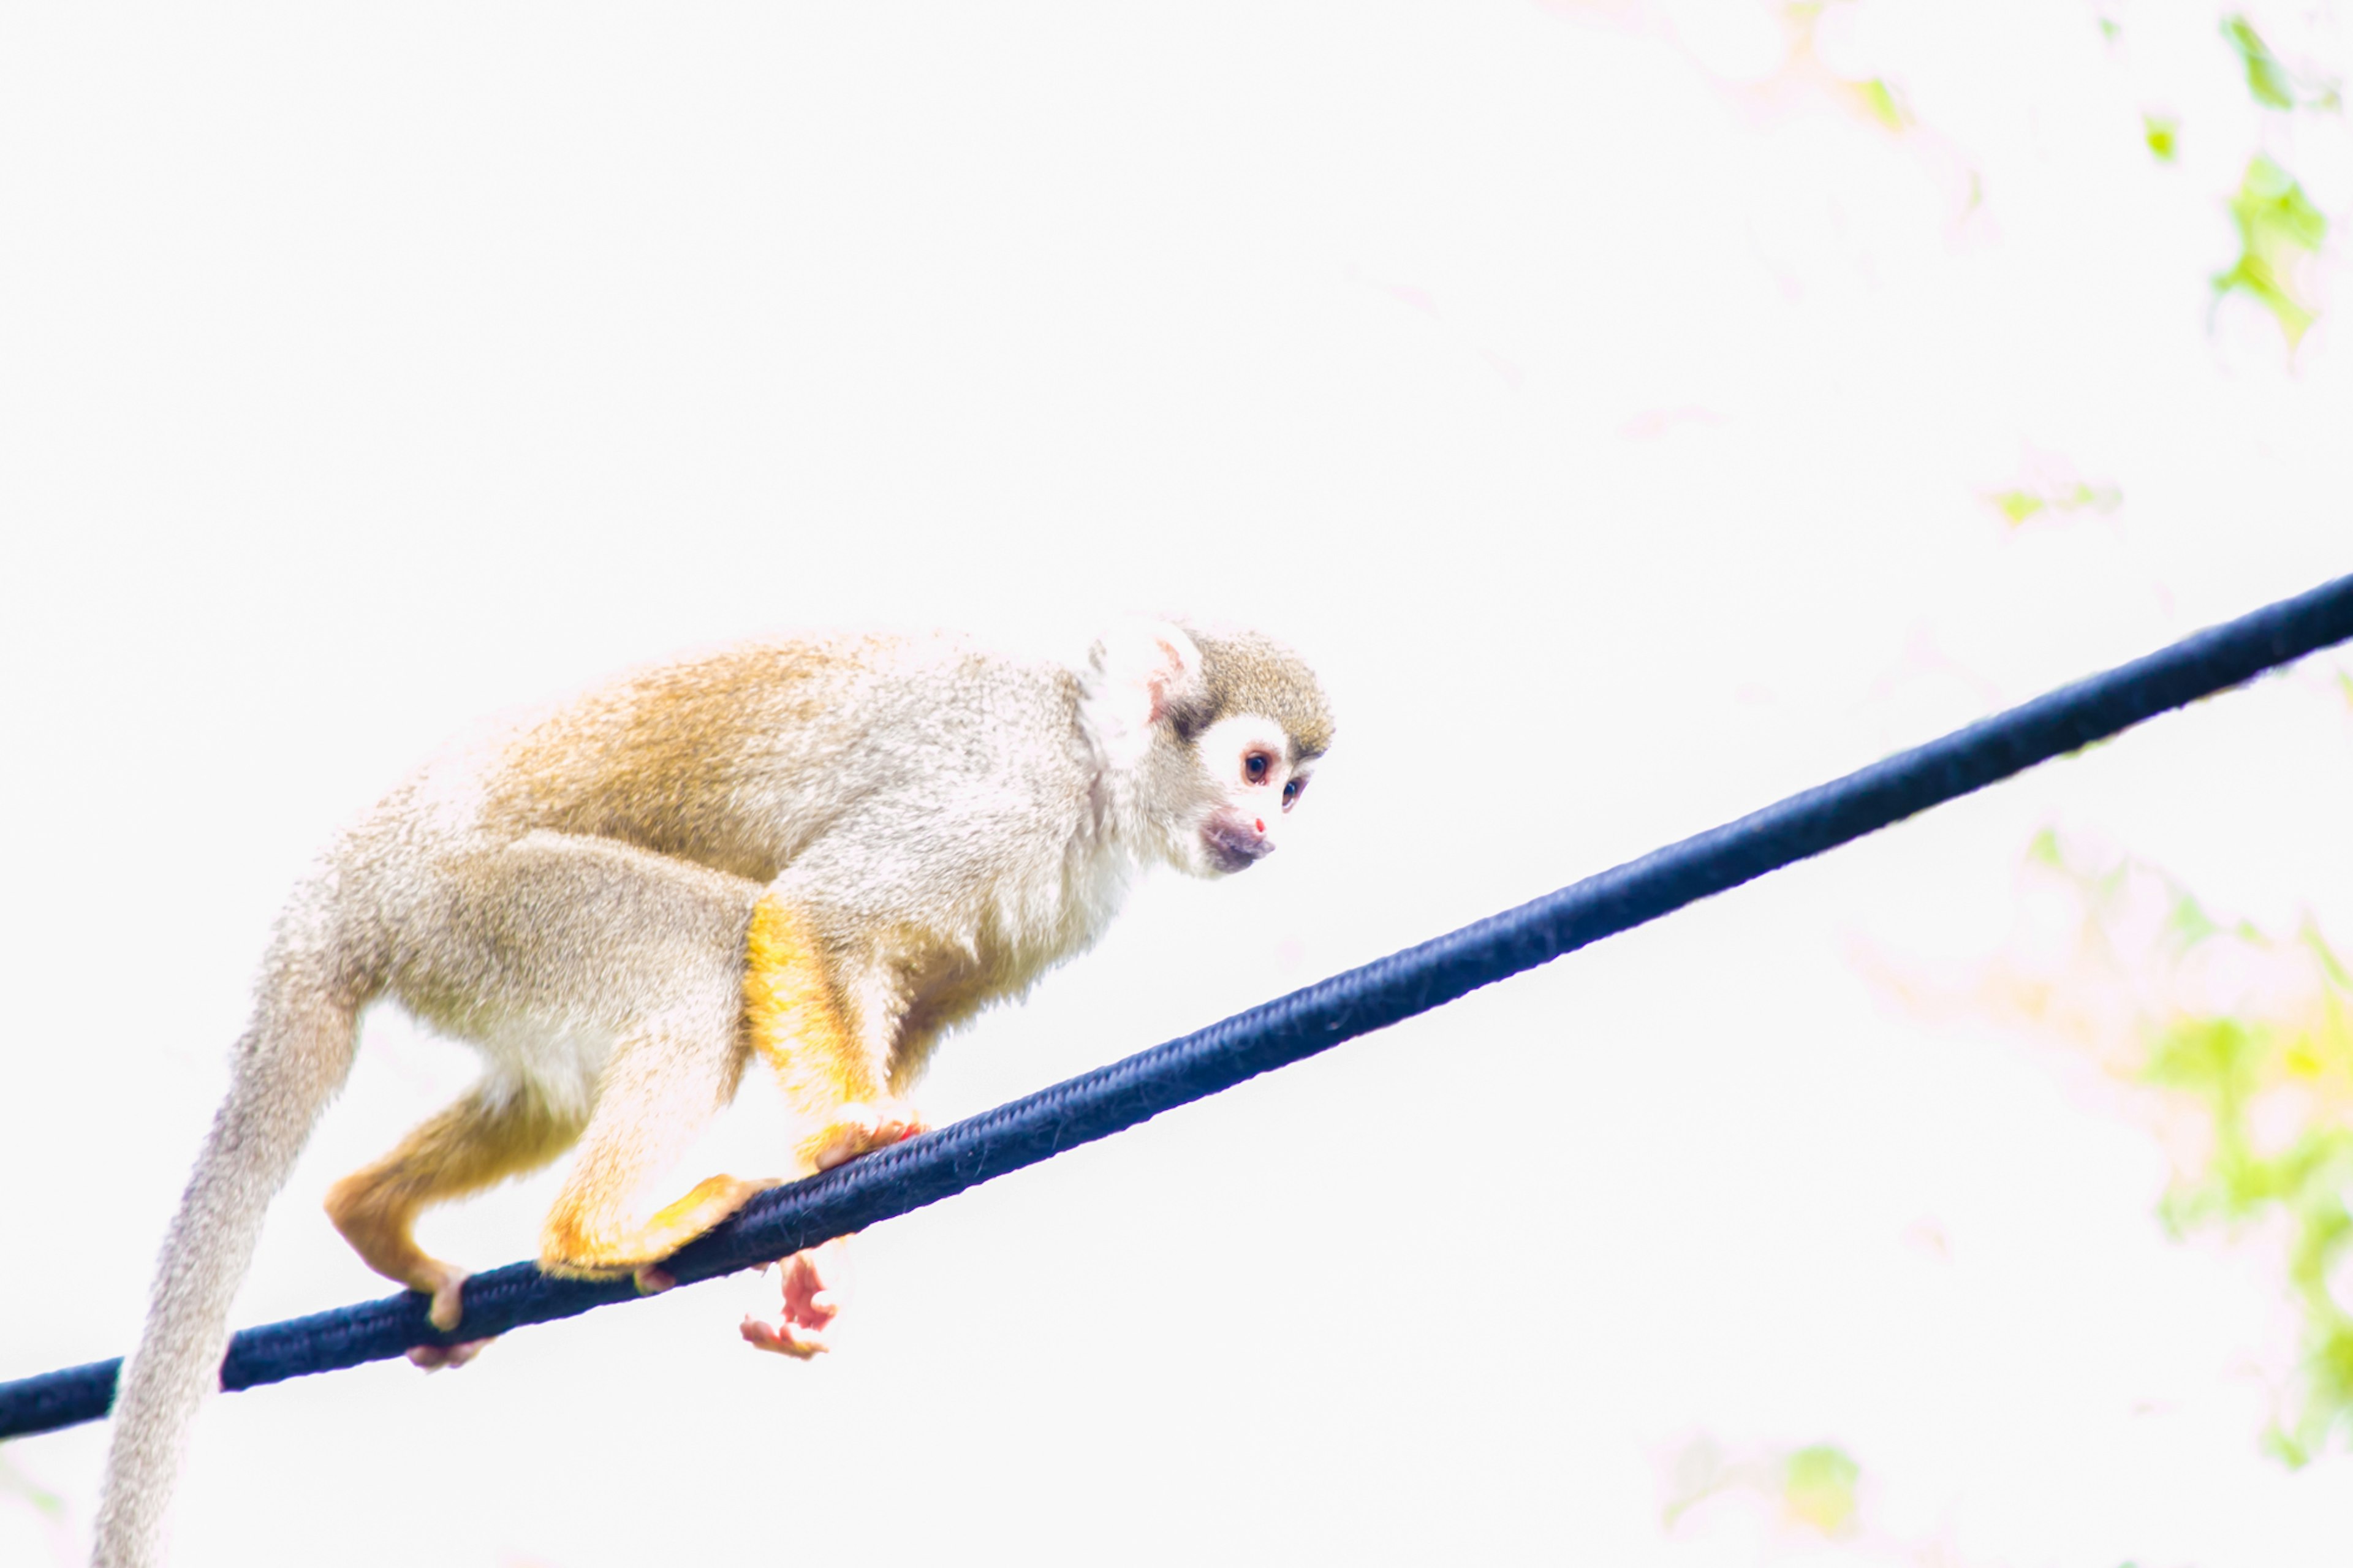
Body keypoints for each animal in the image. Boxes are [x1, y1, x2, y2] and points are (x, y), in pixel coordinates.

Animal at [87, 616, 1327, 1553]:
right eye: (1259, 767)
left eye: (1296, 791)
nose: (1270, 831)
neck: (1094, 760)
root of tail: (335, 891)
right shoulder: (1001, 792)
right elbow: (817, 918)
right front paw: (847, 1135)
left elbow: (902, 1005)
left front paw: (818, 1255)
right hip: (470, 901)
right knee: (701, 958)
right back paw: (592, 1233)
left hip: (456, 944)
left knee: (555, 1084)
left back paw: (373, 1212)